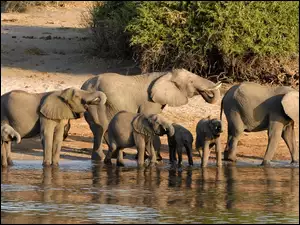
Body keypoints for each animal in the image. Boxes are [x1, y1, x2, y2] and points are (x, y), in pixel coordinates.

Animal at [81, 67, 221, 161]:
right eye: (191, 82)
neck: (165, 74)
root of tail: (84, 86)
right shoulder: (149, 101)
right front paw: (155, 158)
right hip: (97, 104)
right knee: (100, 128)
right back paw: (99, 158)